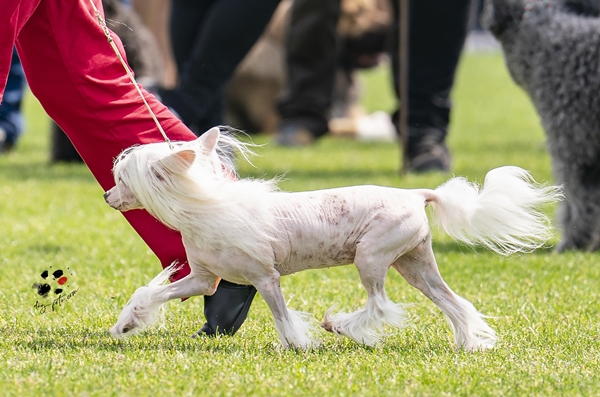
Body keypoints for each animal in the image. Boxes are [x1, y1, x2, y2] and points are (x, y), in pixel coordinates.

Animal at [104, 127, 564, 350]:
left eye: (123, 179)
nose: (107, 196)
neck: (205, 206)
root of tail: (416, 194)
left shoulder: (265, 277)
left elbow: (282, 316)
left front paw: (297, 345)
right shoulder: (204, 278)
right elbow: (151, 294)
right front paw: (127, 324)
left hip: (372, 256)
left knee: (380, 304)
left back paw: (341, 326)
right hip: (414, 263)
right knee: (452, 301)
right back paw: (469, 343)